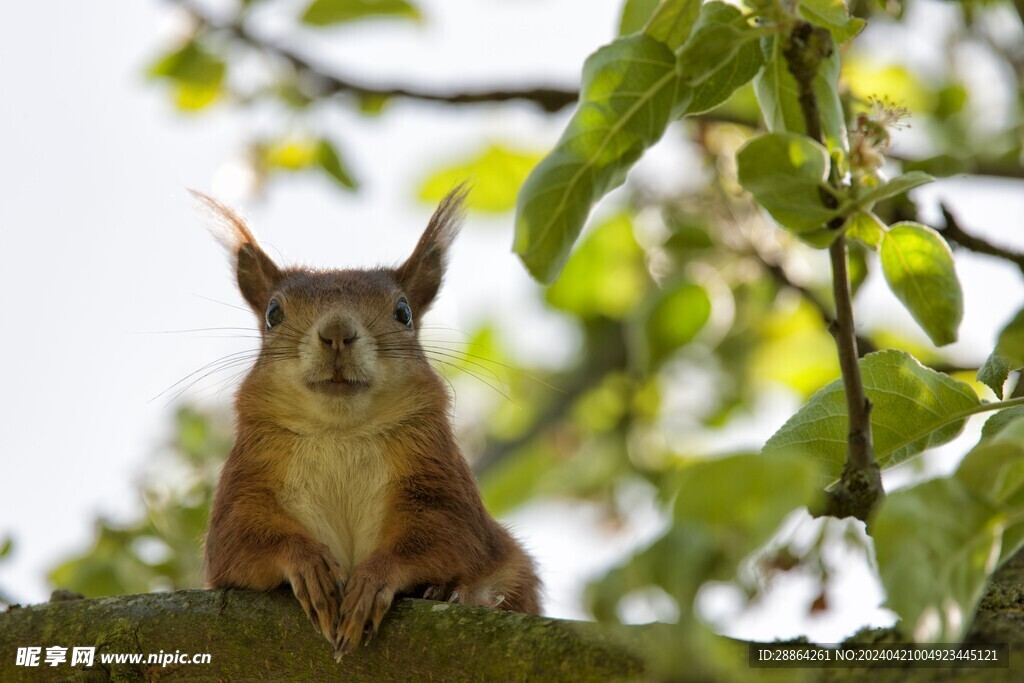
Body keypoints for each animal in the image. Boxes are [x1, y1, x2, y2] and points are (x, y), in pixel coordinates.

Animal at [193, 188, 544, 663]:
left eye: (404, 312)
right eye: (272, 313)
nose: (337, 332)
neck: (340, 432)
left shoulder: (441, 482)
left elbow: (449, 538)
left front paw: (373, 581)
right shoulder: (245, 486)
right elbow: (237, 543)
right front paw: (309, 565)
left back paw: (452, 593)